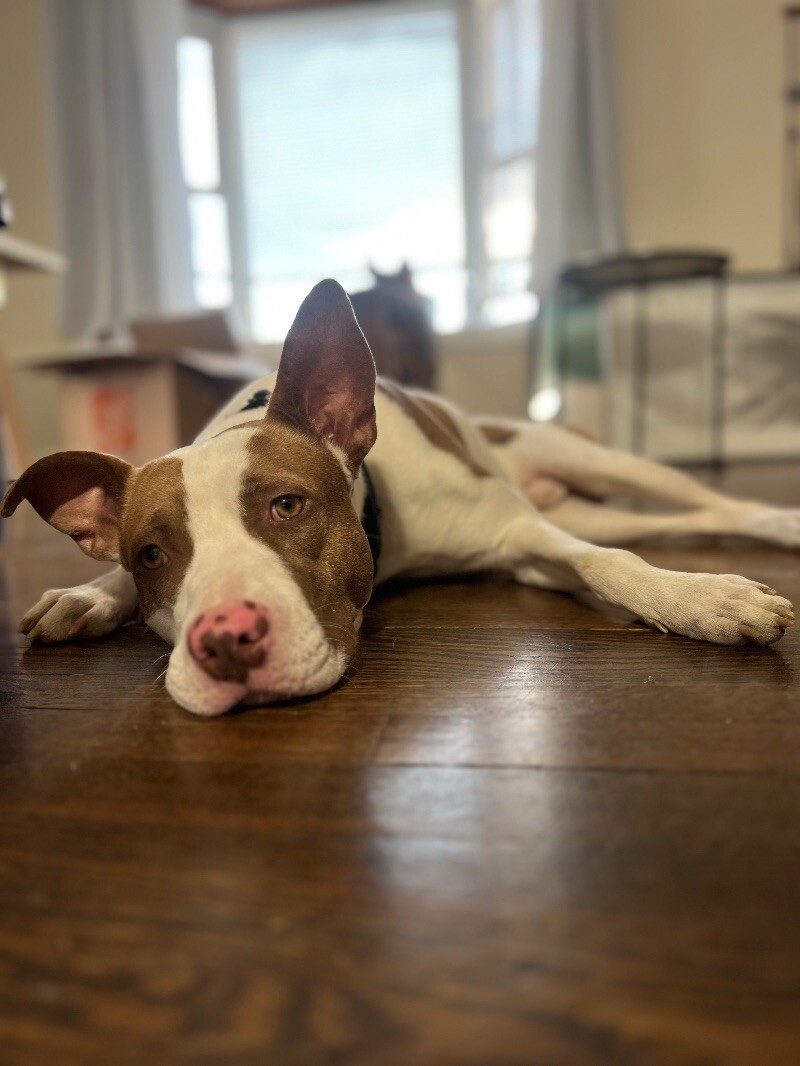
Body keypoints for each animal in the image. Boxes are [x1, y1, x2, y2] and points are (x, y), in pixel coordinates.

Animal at [3, 281, 797, 716]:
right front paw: (89, 594)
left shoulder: (517, 533)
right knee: (684, 517)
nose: (226, 640)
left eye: (287, 506)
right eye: (150, 554)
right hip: (579, 500)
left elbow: (611, 562)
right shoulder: (530, 548)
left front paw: (704, 601)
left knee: (713, 505)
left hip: (597, 462)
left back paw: (777, 521)